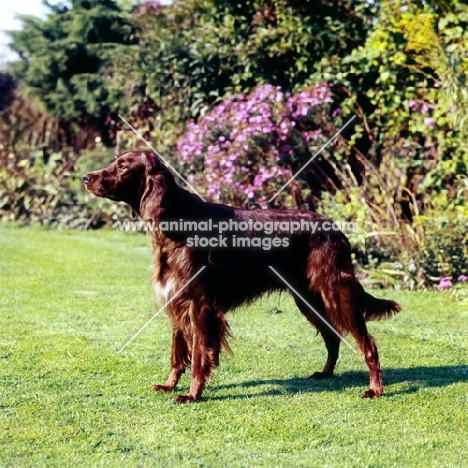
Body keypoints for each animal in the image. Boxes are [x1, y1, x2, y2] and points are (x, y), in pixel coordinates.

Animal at [82, 150, 400, 402]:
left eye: (123, 166)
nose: (85, 177)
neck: (175, 222)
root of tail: (337, 230)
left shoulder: (199, 305)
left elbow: (199, 355)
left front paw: (192, 394)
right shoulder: (176, 301)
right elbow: (177, 353)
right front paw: (170, 385)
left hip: (336, 292)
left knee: (368, 343)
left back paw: (375, 389)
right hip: (308, 298)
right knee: (332, 336)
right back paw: (325, 373)